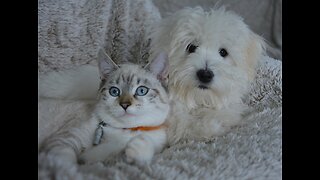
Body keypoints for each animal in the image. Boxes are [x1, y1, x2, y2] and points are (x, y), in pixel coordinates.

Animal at [39, 50, 170, 165]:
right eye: (114, 91)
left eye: (142, 90)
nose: (125, 105)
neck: (126, 130)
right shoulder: (65, 141)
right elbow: (65, 161)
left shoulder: (98, 160)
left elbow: (124, 156)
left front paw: (139, 146)